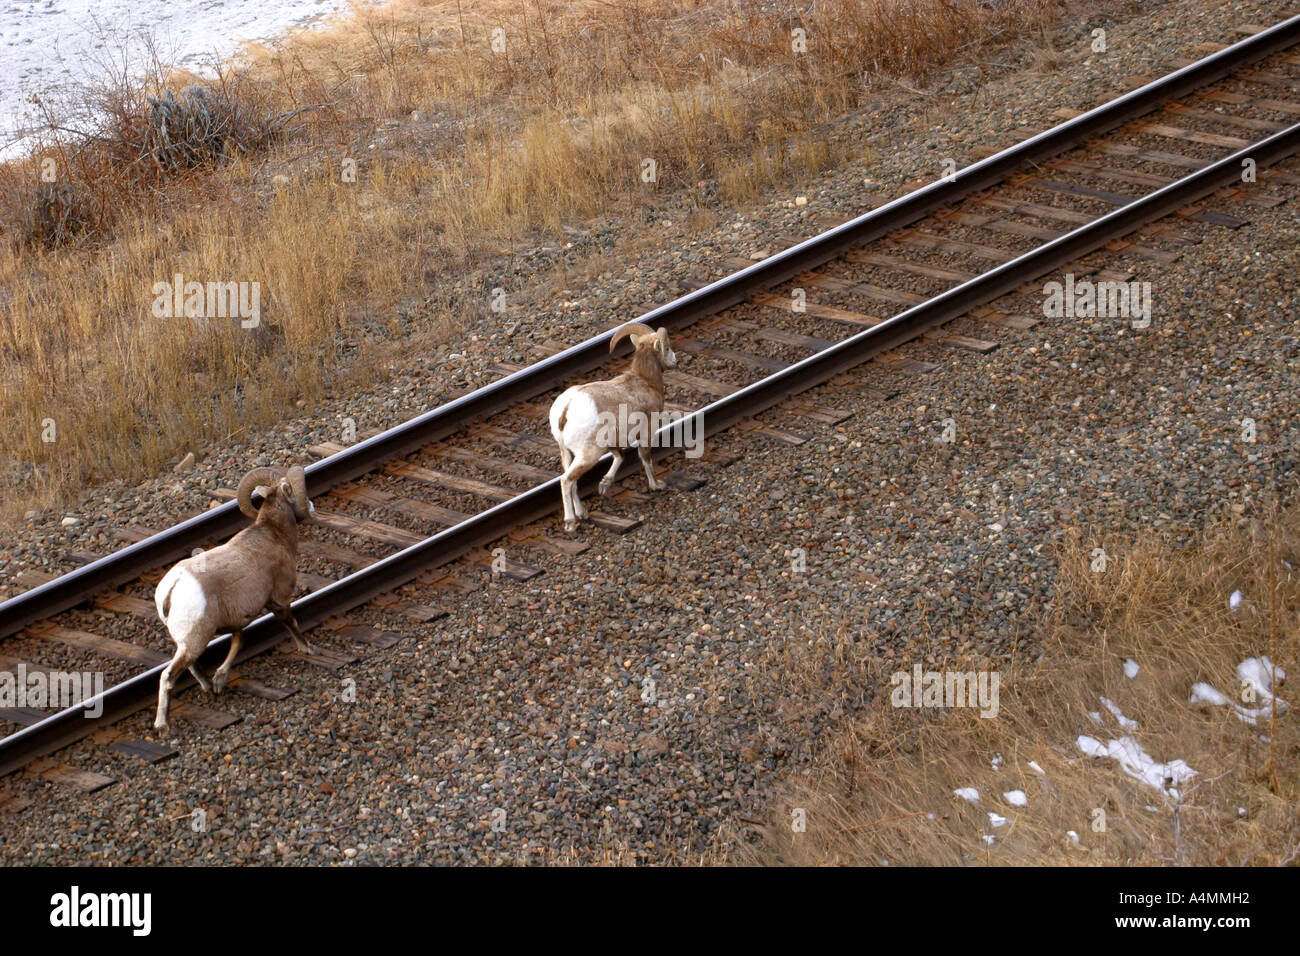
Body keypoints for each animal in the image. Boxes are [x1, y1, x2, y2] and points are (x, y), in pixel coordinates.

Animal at [150, 468, 314, 738]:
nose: (310, 506)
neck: (274, 536)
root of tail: (173, 587)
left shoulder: (237, 620)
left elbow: (238, 641)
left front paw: (220, 680)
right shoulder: (278, 600)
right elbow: (291, 623)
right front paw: (308, 649)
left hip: (186, 643)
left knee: (191, 666)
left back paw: (208, 686)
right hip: (194, 642)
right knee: (167, 677)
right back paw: (163, 726)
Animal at [546, 321, 676, 530]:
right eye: (667, 347)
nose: (674, 360)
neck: (646, 382)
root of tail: (567, 407)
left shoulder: (614, 443)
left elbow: (620, 457)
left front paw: (604, 484)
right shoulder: (646, 434)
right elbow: (645, 458)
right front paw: (656, 485)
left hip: (567, 453)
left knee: (572, 481)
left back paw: (583, 514)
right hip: (589, 455)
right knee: (566, 481)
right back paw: (570, 523)